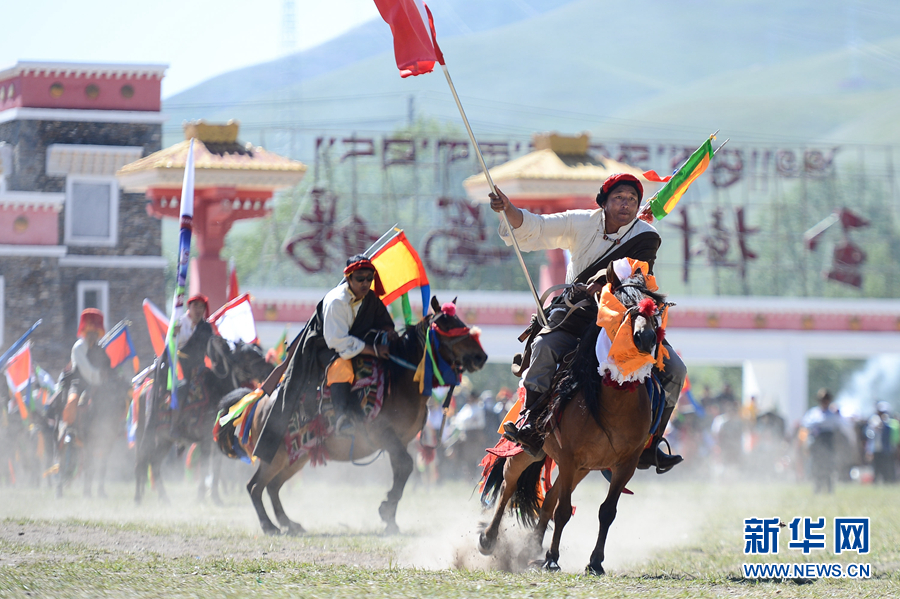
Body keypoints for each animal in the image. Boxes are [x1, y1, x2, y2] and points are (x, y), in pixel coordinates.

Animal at [216, 298, 486, 536]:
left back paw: (289, 523)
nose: (480, 356)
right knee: (255, 487)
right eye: (447, 326)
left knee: (272, 487)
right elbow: (407, 466)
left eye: (460, 320)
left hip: (296, 457)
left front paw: (390, 517)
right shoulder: (384, 434)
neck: (400, 379)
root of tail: (259, 400)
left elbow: (402, 471)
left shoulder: (398, 441)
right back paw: (269, 526)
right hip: (274, 456)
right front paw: (386, 510)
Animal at [478, 264, 668, 576]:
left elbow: (606, 511)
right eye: (620, 302)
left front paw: (595, 562)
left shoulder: (624, 464)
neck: (615, 403)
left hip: (583, 468)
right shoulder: (569, 457)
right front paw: (553, 558)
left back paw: (532, 550)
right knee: (509, 483)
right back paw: (489, 539)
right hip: (531, 451)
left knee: (548, 500)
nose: (646, 338)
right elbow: (564, 511)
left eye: (652, 308)